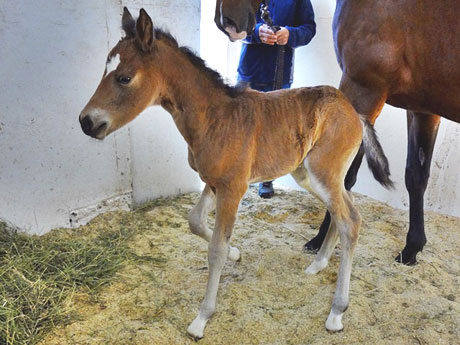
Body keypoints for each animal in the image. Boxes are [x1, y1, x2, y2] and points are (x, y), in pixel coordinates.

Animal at [79, 8, 392, 338]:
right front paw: (235, 253)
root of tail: (355, 112)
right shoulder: (213, 182)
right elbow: (195, 221)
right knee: (342, 212)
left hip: (323, 173)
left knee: (351, 221)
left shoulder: (233, 187)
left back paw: (337, 312)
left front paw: (201, 319)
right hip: (311, 176)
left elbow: (215, 248)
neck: (214, 118)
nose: (86, 122)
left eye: (124, 77)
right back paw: (318, 265)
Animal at [214, 0, 460, 264]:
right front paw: (412, 247)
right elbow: (416, 176)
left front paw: (321, 239)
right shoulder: (422, 109)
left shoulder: (363, 91)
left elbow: (343, 177)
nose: (226, 19)